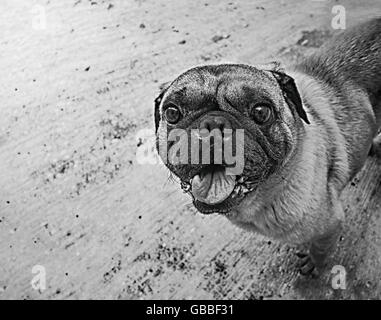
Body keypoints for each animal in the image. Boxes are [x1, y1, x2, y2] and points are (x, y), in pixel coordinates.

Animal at [153, 18, 378, 276]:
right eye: (172, 112)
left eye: (261, 111)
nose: (213, 124)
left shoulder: (330, 226)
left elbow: (320, 250)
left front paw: (314, 264)